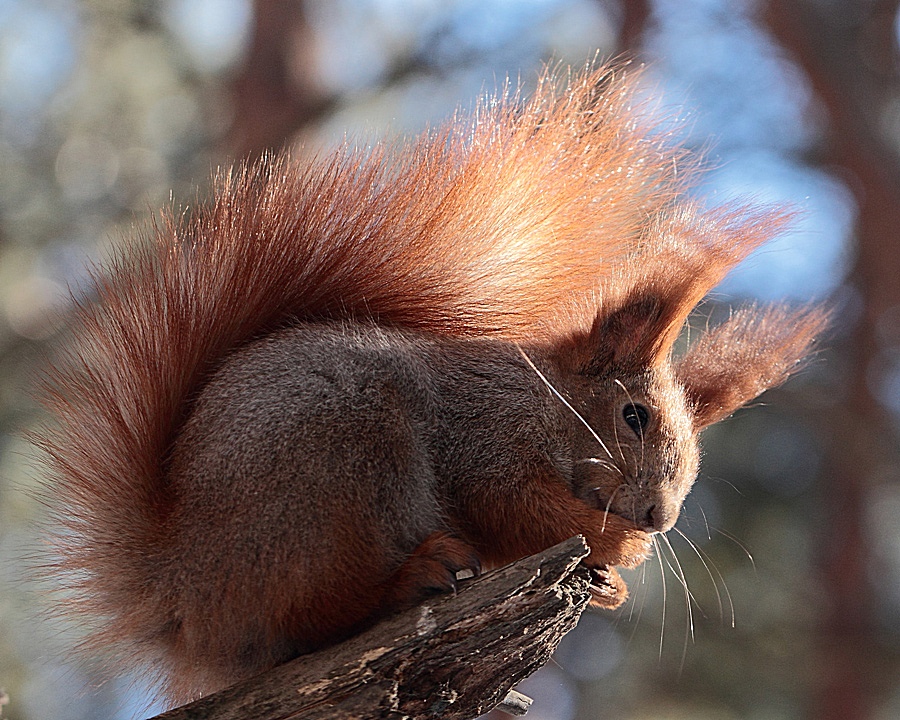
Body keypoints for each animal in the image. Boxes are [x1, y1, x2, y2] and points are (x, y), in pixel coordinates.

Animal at [33, 64, 824, 704]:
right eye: (634, 417)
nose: (660, 519)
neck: (545, 399)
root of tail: (182, 594)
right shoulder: (487, 440)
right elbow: (515, 508)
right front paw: (616, 547)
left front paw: (614, 577)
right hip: (339, 466)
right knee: (319, 612)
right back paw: (414, 576)